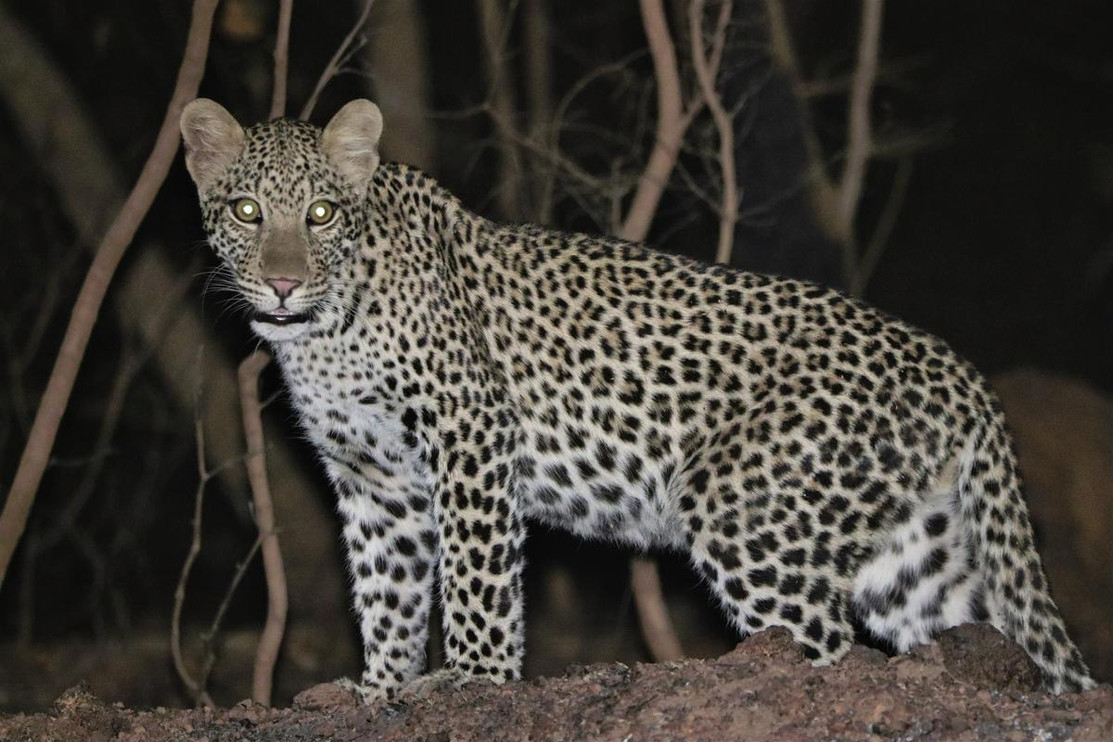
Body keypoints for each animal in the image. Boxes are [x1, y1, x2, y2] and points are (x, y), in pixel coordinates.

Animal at [180, 95, 1095, 698]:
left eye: (322, 213)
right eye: (248, 211)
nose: (283, 283)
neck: (321, 334)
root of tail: (957, 368)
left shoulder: (469, 433)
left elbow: (477, 576)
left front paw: (474, 679)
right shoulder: (375, 479)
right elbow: (385, 590)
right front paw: (379, 689)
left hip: (746, 513)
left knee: (832, 644)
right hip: (906, 554)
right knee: (977, 631)